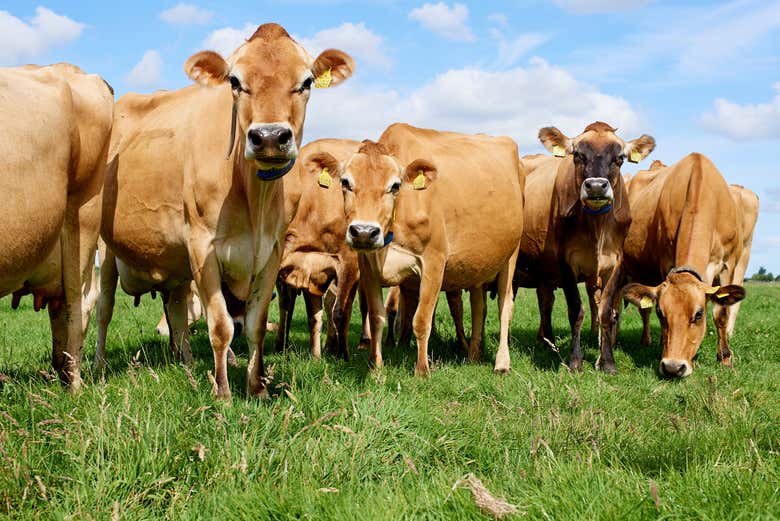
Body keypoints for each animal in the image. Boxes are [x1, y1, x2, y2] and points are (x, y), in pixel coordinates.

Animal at [97, 23, 354, 399]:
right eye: (234, 80)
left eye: (306, 81)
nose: (270, 136)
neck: (254, 197)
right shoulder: (202, 247)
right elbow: (220, 325)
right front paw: (223, 393)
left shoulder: (272, 253)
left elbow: (255, 325)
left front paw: (256, 387)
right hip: (103, 249)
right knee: (102, 309)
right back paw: (96, 366)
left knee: (176, 312)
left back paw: (186, 363)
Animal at [306, 124, 525, 375]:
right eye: (345, 182)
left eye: (395, 186)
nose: (364, 232)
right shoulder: (367, 266)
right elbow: (376, 316)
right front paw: (375, 367)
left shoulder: (434, 261)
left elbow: (421, 320)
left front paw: (422, 371)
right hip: (478, 264)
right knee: (479, 307)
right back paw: (472, 355)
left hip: (511, 255)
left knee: (504, 306)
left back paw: (502, 362)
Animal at [515, 122, 655, 373]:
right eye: (578, 155)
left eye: (619, 158)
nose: (597, 186)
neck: (597, 225)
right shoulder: (565, 261)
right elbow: (575, 310)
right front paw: (575, 360)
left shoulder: (616, 262)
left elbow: (607, 312)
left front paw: (607, 362)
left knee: (545, 300)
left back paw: (548, 341)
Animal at [619, 153, 746, 377]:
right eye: (661, 313)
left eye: (699, 314)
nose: (673, 367)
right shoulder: (665, 261)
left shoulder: (729, 264)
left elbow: (721, 313)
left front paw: (725, 358)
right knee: (642, 310)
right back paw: (647, 341)